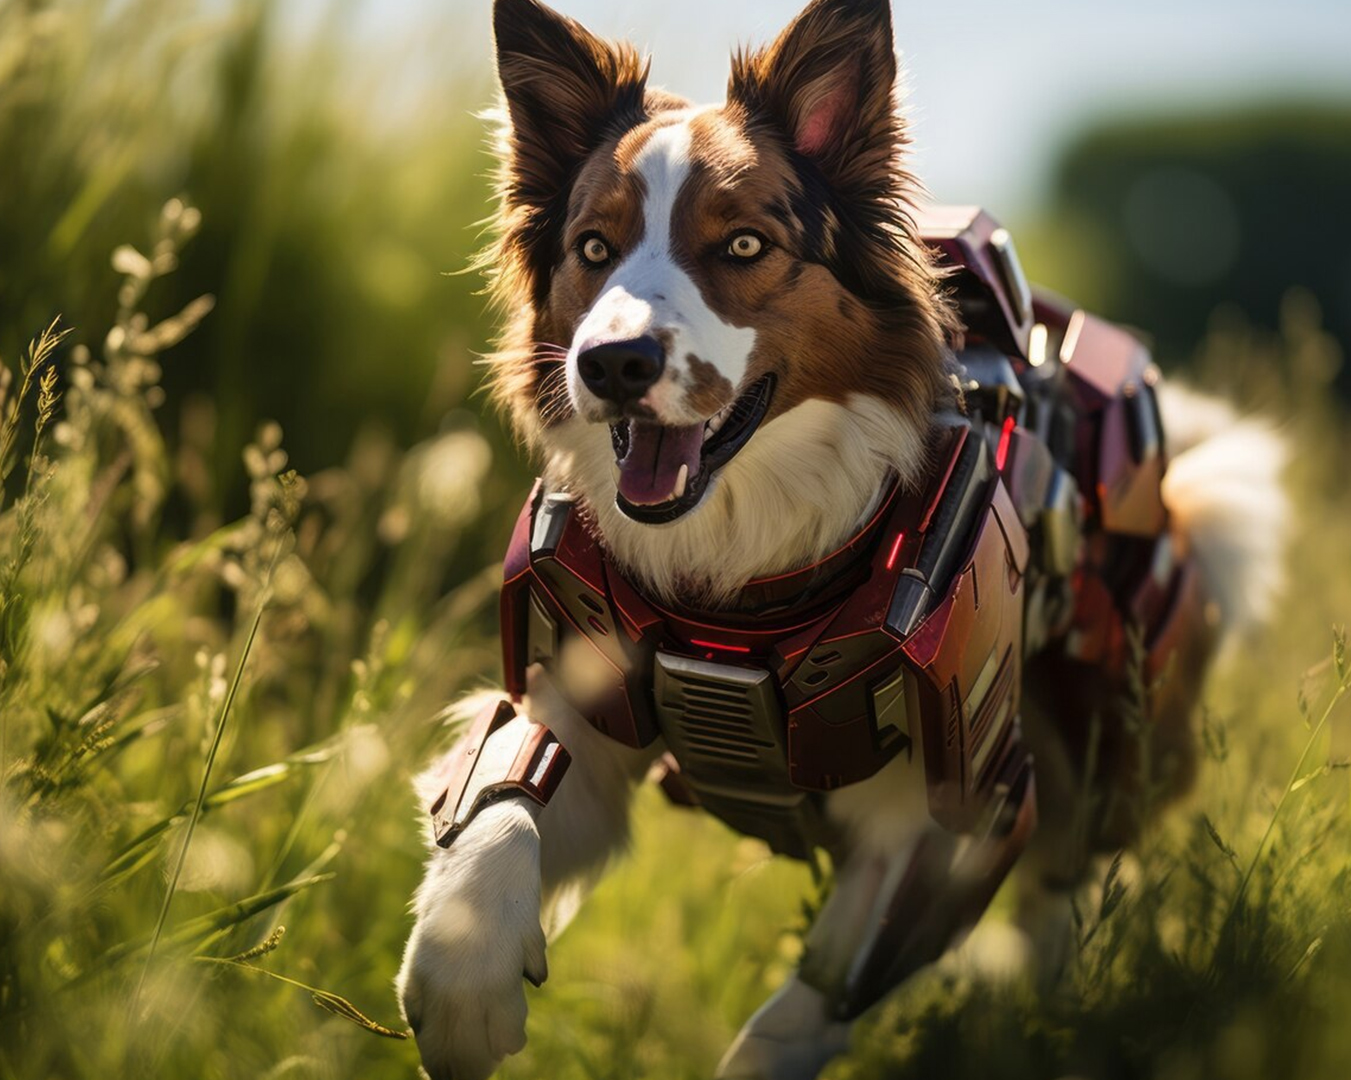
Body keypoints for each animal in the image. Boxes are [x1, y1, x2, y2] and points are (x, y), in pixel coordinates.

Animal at [394, 2, 1286, 1080]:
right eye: (594, 247)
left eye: (742, 244)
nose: (611, 364)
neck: (739, 581)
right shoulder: (585, 691)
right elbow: (501, 801)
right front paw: (463, 994)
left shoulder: (960, 804)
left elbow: (818, 995)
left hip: (1110, 738)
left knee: (1058, 893)